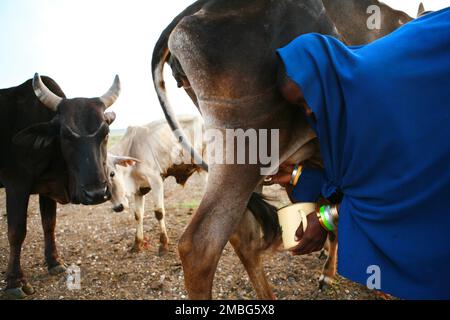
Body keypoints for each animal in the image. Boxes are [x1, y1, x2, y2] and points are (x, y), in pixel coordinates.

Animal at [0, 74, 119, 298]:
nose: (96, 193)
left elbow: (49, 224)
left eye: (106, 133)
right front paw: (15, 282)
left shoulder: (46, 189)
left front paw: (54, 262)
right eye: (66, 136)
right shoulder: (16, 185)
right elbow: (16, 232)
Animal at [108, 114, 207, 252]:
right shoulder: (139, 190)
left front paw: (163, 244)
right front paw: (137, 244)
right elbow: (138, 215)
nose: (118, 207)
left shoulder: (156, 180)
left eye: (112, 173)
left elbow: (159, 213)